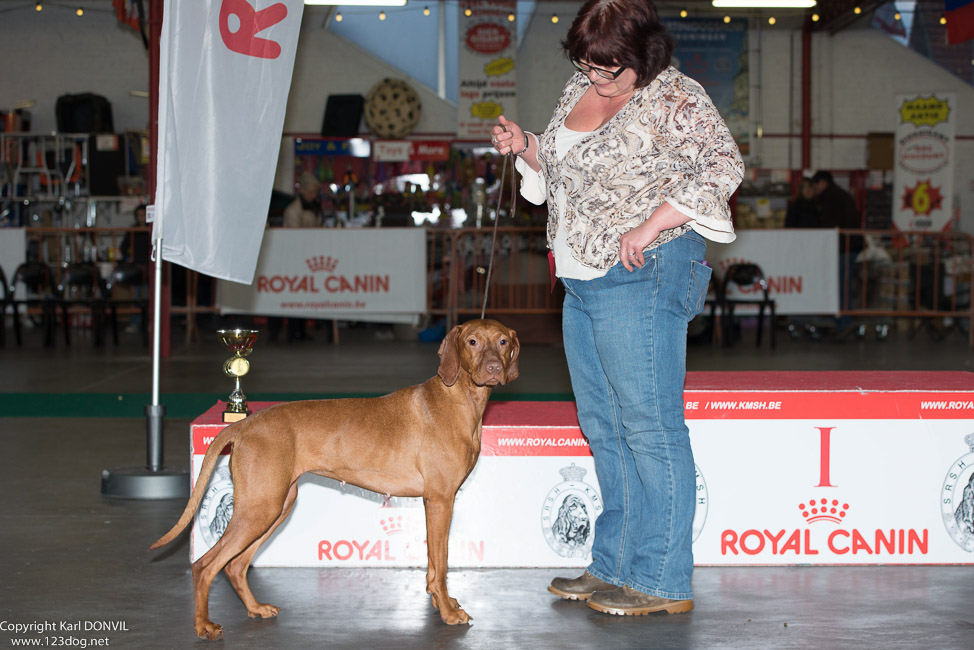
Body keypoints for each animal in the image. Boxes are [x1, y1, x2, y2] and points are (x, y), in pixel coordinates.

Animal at [149, 318, 520, 636]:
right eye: (472, 341)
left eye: (502, 341)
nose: (493, 368)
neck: (458, 399)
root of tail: (244, 425)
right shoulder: (440, 500)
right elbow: (440, 565)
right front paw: (448, 611)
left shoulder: (435, 502)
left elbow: (432, 566)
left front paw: (441, 602)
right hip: (259, 508)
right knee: (205, 565)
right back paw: (203, 626)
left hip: (275, 504)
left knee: (235, 565)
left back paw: (255, 609)